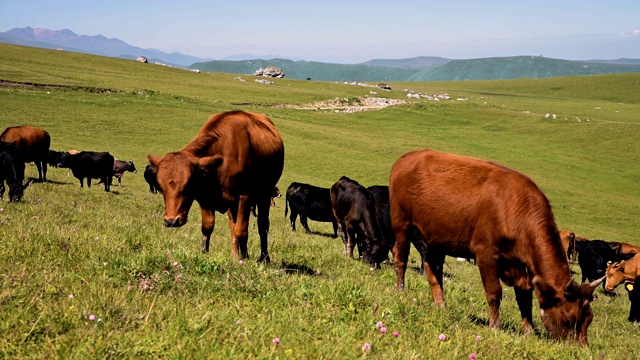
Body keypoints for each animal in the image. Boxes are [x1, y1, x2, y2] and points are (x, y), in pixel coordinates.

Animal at [149, 109, 284, 262]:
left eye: (188, 186)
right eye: (161, 188)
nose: (171, 221)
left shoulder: (245, 196)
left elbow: (241, 230)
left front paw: (245, 257)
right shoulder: (206, 197)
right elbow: (208, 226)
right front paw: (204, 252)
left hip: (265, 193)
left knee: (262, 224)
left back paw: (264, 258)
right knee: (233, 225)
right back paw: (235, 255)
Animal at [390, 149, 604, 346]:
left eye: (588, 319)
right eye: (569, 318)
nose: (580, 349)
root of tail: (408, 156)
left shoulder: (523, 269)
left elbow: (525, 301)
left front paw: (529, 331)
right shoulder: (486, 254)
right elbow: (494, 293)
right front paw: (495, 326)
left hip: (435, 237)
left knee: (432, 269)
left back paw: (440, 304)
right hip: (401, 223)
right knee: (401, 258)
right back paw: (400, 291)